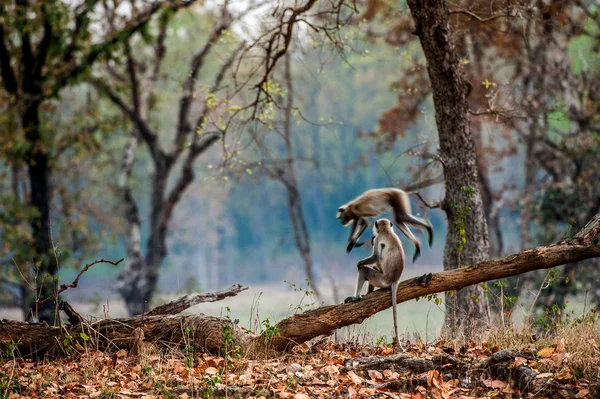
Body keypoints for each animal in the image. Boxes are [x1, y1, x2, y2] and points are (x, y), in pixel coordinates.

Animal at [344, 220, 406, 348]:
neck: (387, 231)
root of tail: (395, 279)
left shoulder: (378, 238)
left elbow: (375, 256)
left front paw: (359, 263)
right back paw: (366, 294)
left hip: (381, 280)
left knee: (365, 270)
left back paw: (356, 297)